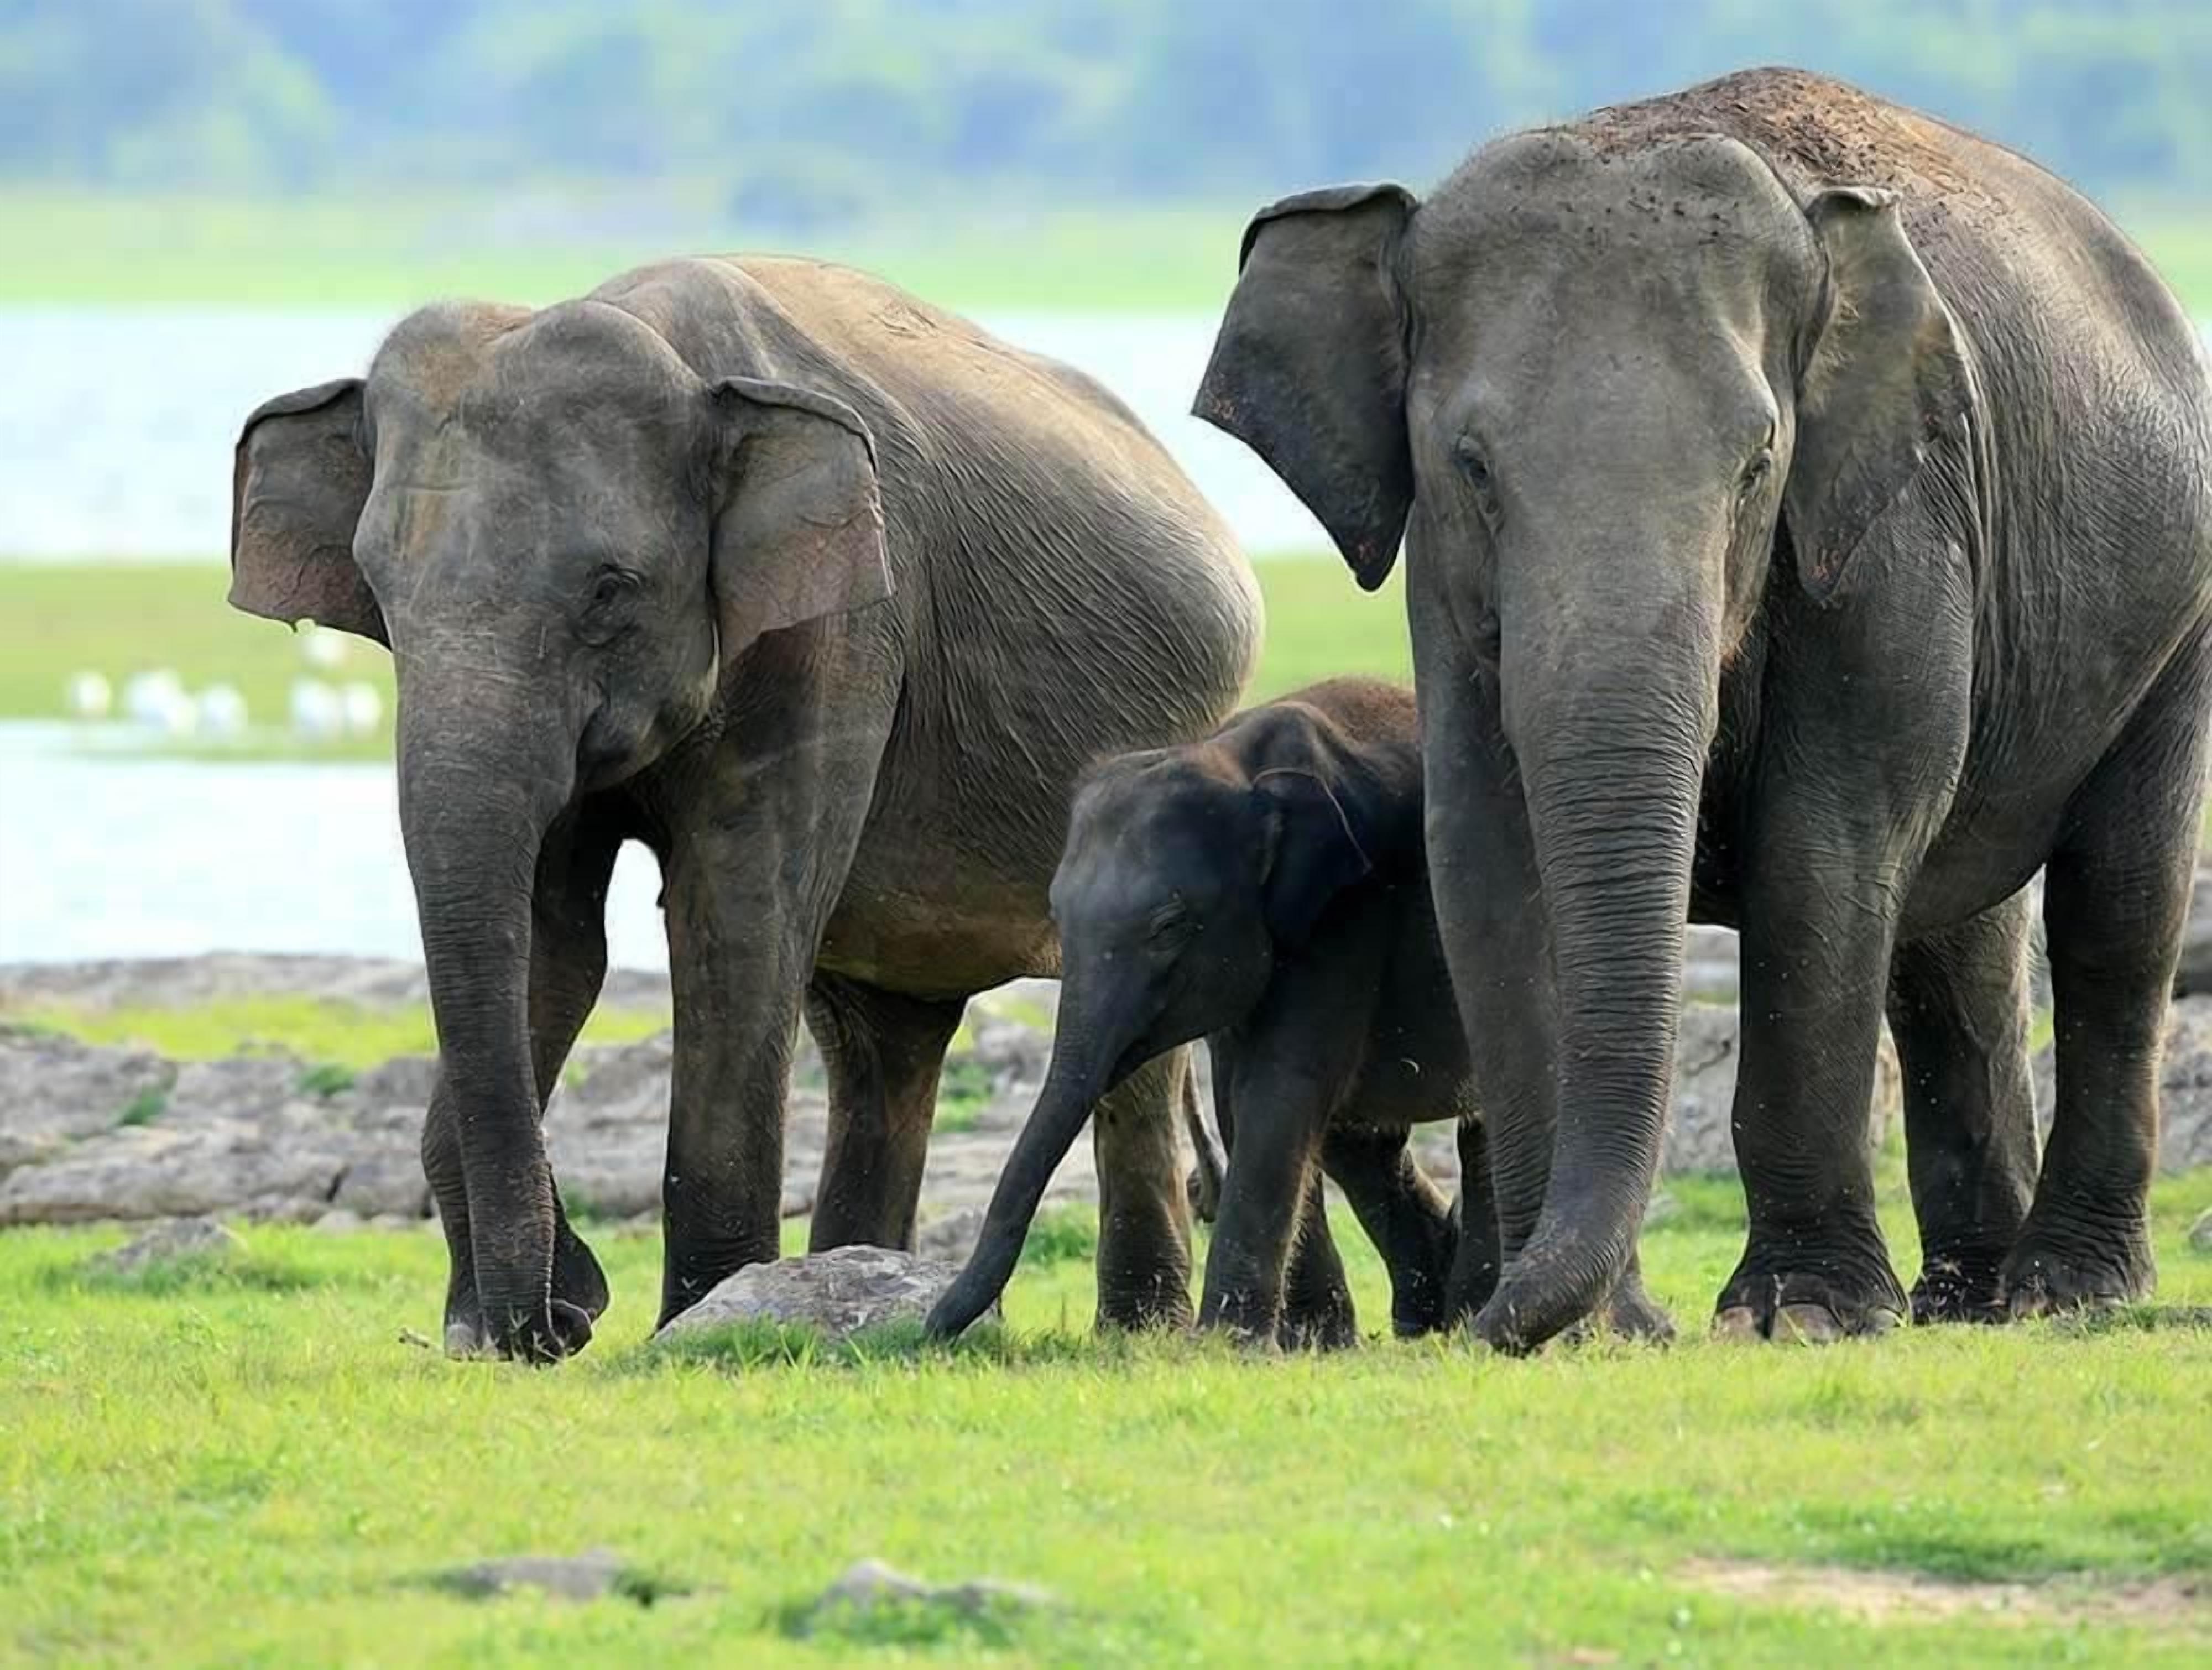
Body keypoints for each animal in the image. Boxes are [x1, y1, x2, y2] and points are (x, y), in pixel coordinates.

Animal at [228, 255, 1260, 1360]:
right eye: (378, 592)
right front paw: (519, 1325)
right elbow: (555, 943)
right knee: (883, 1042)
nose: (555, 1321)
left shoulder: (841, 627)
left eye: (609, 590)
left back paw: (1136, 1331)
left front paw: (692, 1321)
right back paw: (867, 1279)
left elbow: (736, 919)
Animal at [929, 678, 1528, 1348]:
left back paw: (1467, 1312)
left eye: (1168, 926)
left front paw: (1230, 1342)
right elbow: (1240, 1100)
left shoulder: (1347, 916)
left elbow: (1278, 1088)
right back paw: (1426, 1316)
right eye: (1056, 913)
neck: (1232, 758)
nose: (932, 1329)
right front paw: (1311, 1342)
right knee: (1362, 1142)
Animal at [1197, 67, 2212, 1351]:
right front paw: (1598, 1329)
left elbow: (1823, 854)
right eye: (1471, 467)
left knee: (2113, 914)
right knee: (1956, 945)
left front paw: (1799, 1316)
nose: (1462, 1322)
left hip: (2174, 622)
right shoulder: (1444, 585)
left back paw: (2063, 1291)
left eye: (1755, 464)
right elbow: (1485, 855)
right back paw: (1965, 1300)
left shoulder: (1888, 530)